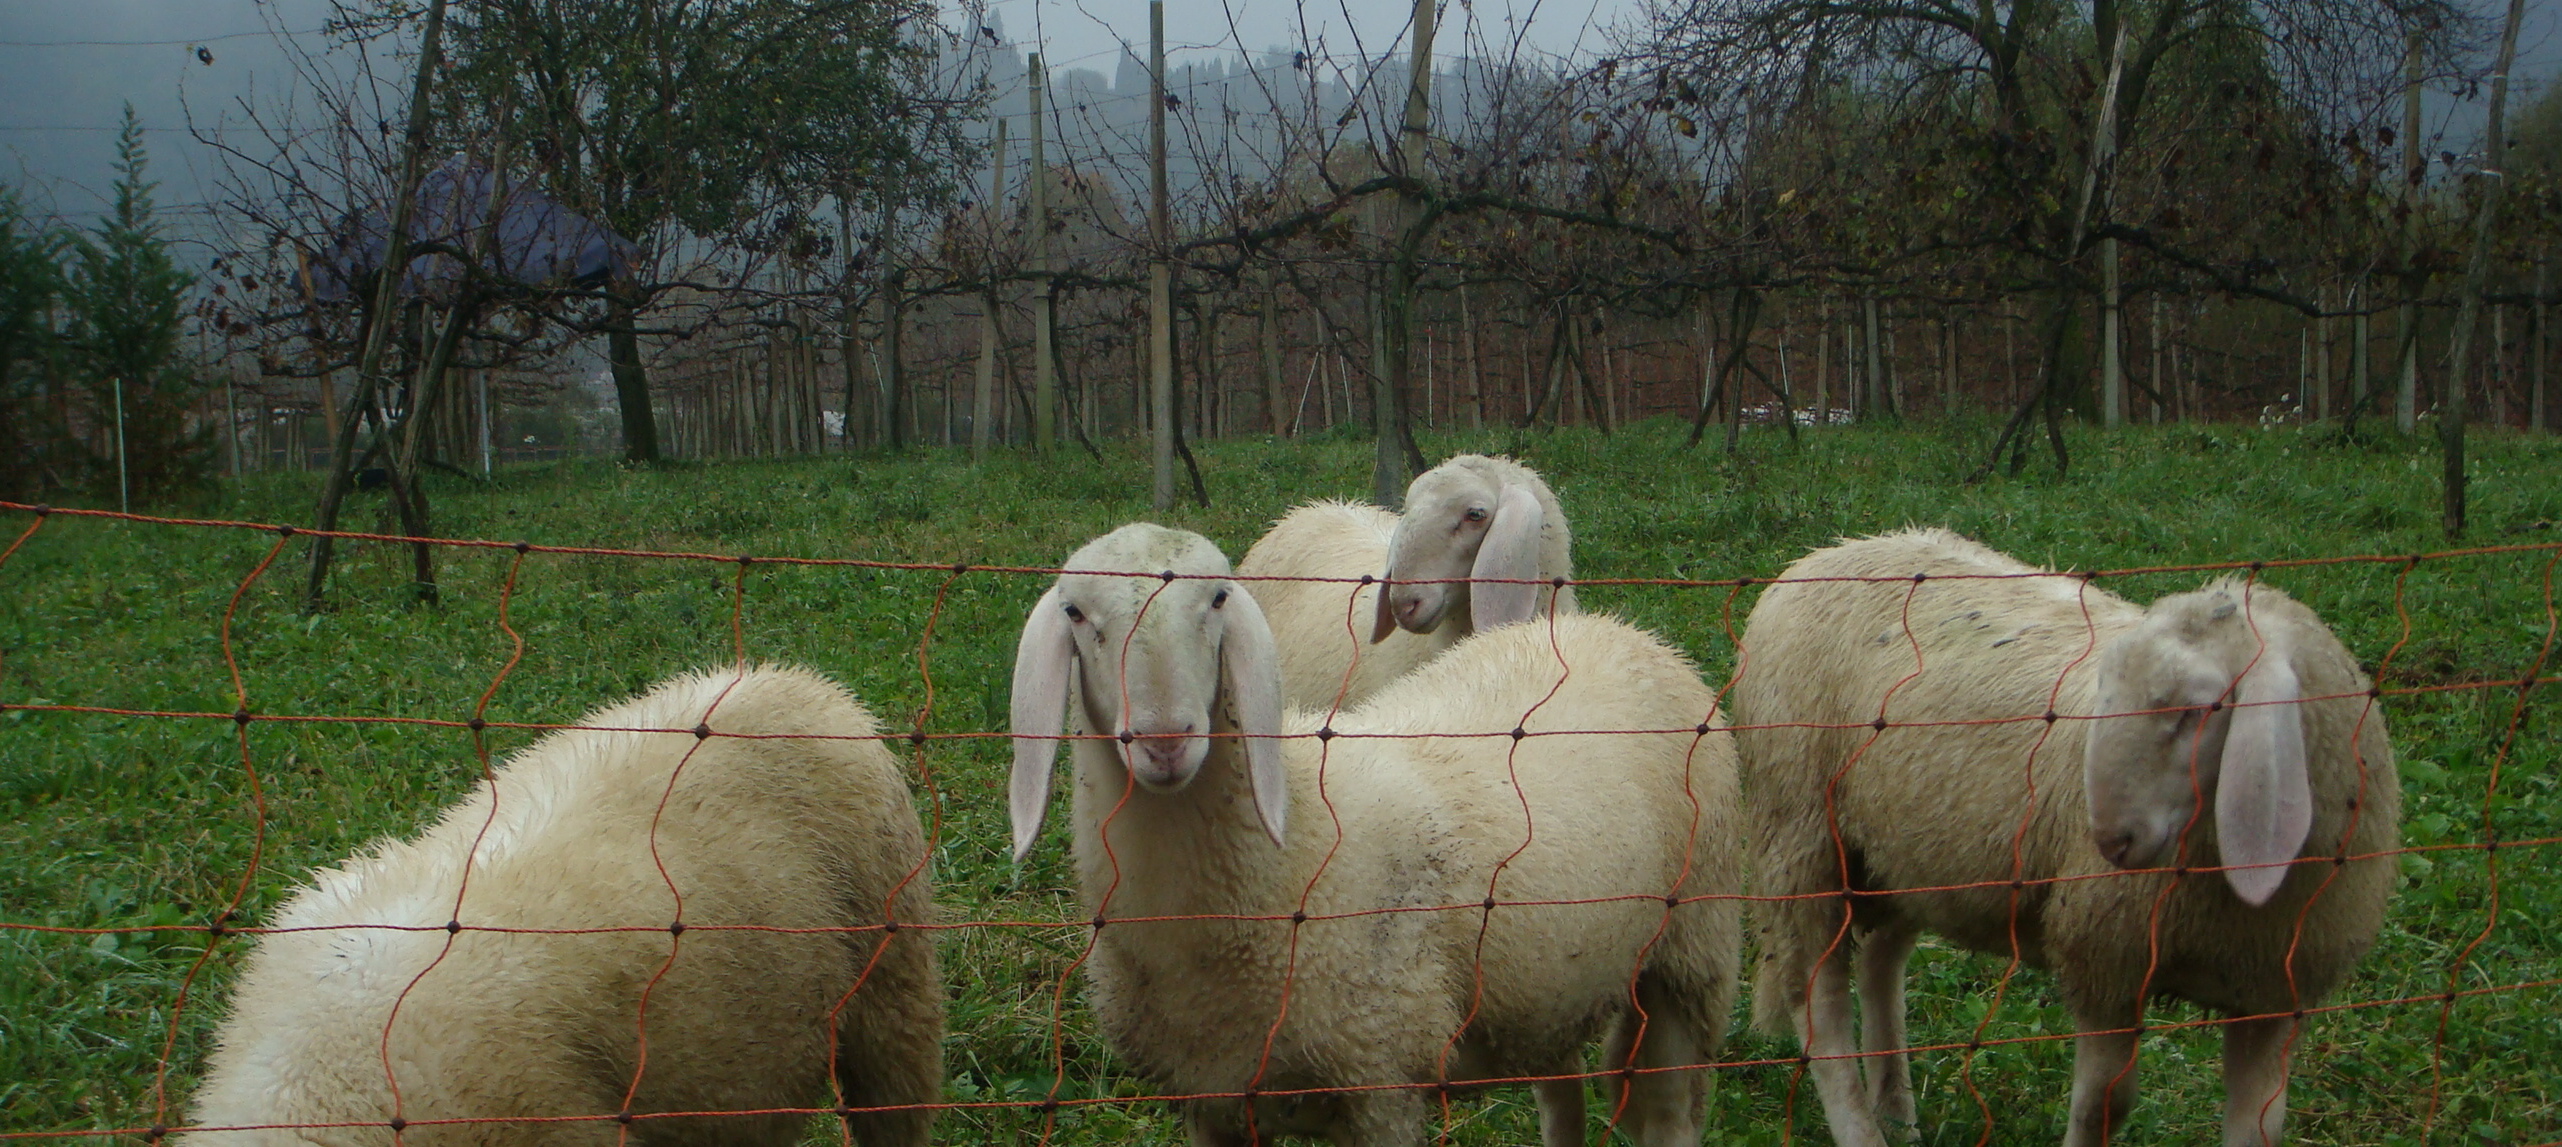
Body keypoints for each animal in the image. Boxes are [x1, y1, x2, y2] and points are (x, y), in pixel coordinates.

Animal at [999, 522, 1742, 1147]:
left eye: (1217, 598)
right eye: (1075, 613)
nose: (1163, 739)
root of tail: (1623, 632)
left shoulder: (1382, 1074)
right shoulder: (1209, 1097)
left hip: (1691, 952)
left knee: (1671, 1112)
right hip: (1546, 985)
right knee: (1562, 1094)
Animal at [1742, 529, 2398, 1147]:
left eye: (2199, 709)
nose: (2112, 842)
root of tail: (1829, 552)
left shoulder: (2273, 995)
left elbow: (2261, 1126)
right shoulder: (2107, 961)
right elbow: (2105, 1106)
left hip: (1902, 850)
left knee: (1882, 958)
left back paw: (1898, 1114)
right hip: (1802, 832)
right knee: (1819, 1000)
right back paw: (1862, 1126)